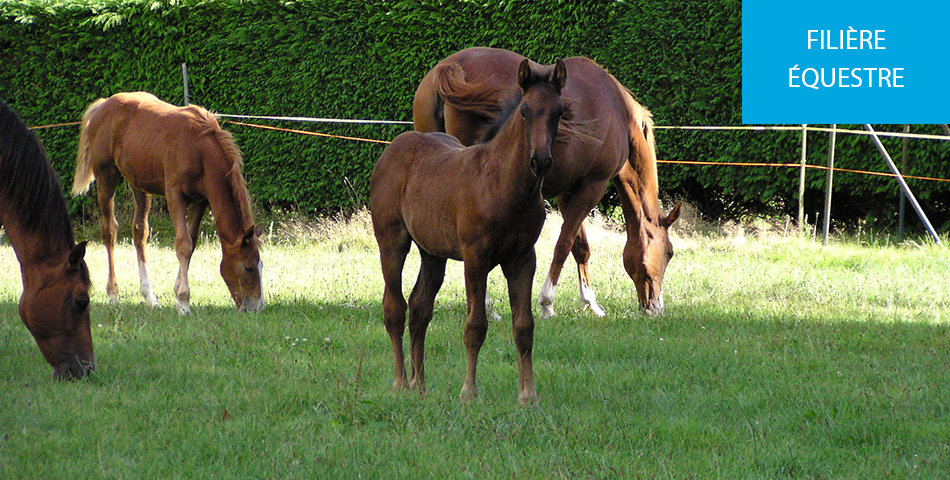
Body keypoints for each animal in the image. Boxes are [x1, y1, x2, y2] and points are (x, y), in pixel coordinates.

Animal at [73, 92, 264, 316]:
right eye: (248, 267)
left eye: (261, 265)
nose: (256, 307)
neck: (199, 150)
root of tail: (104, 104)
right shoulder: (175, 197)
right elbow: (183, 243)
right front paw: (183, 302)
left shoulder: (200, 201)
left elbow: (191, 242)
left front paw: (177, 291)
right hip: (106, 177)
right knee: (109, 230)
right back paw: (113, 295)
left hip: (139, 185)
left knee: (139, 232)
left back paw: (150, 297)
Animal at [370, 59, 564, 404]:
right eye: (525, 111)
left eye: (559, 112)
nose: (541, 161)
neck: (503, 184)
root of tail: (392, 149)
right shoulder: (476, 259)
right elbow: (475, 325)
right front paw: (469, 392)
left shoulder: (523, 259)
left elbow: (524, 327)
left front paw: (528, 396)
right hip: (392, 242)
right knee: (395, 307)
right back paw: (400, 383)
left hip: (432, 252)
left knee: (420, 307)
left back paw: (420, 385)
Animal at [416, 47, 684, 316]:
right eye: (669, 253)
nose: (656, 308)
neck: (619, 110)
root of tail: (450, 67)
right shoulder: (592, 187)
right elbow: (564, 243)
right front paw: (547, 302)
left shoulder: (567, 191)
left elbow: (580, 246)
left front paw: (589, 301)